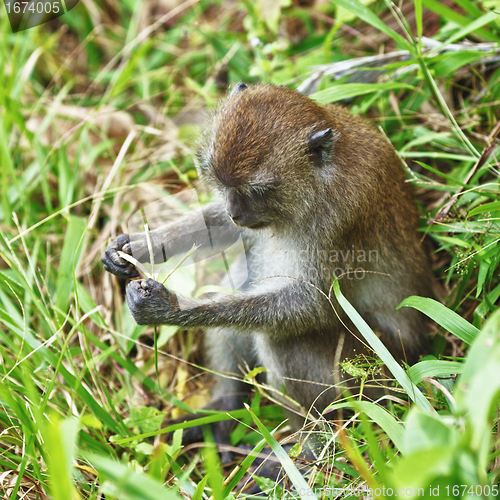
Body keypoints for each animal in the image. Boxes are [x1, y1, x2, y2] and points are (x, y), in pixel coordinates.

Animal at [101, 82, 434, 442]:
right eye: (223, 184)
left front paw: (171, 308)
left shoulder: (339, 217)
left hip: (370, 376)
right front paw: (135, 245)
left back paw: (311, 444)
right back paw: (227, 404)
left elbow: (313, 306)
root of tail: (414, 351)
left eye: (258, 191)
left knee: (281, 338)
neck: (320, 178)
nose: (236, 212)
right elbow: (220, 228)